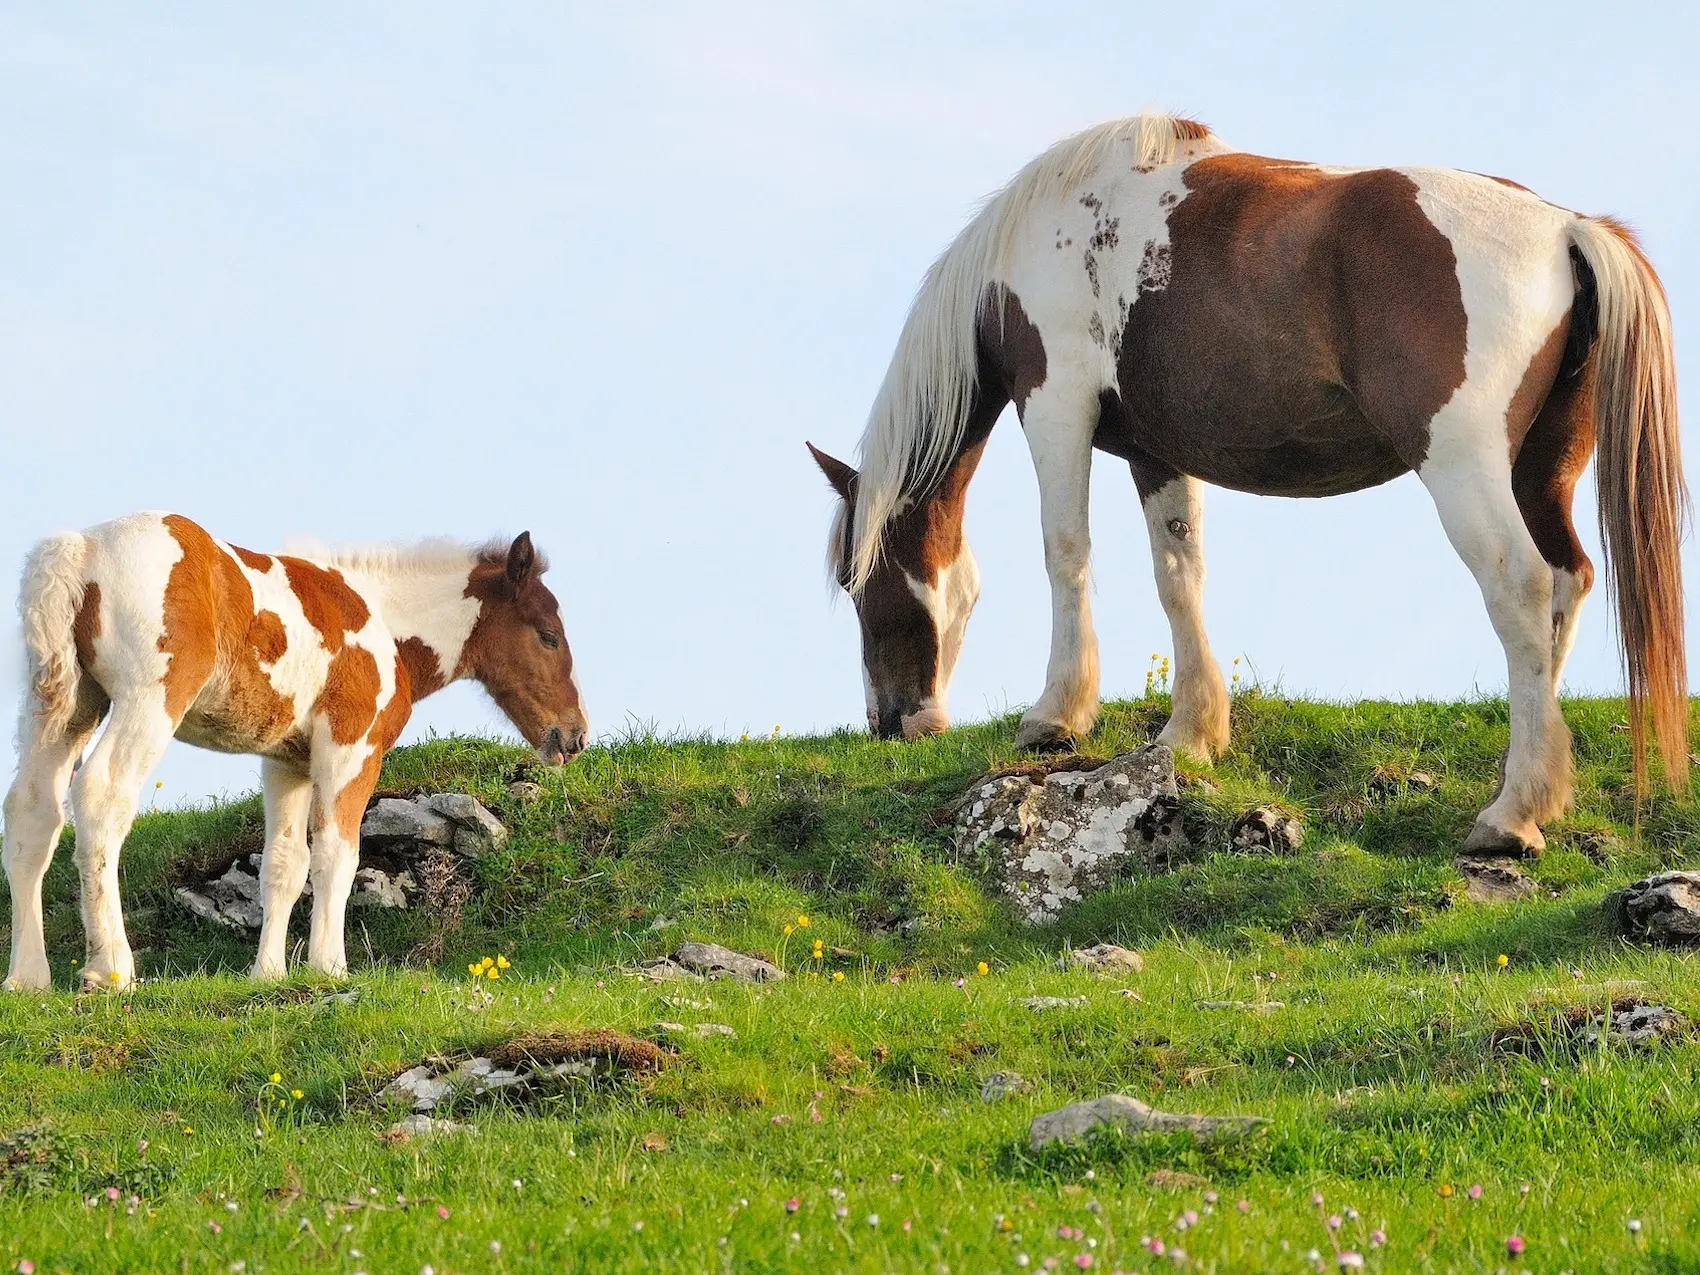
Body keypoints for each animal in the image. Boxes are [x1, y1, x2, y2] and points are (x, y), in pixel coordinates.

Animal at [4, 513, 591, 992]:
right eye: (548, 635)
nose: (574, 735)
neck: (383, 621)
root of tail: (80, 549)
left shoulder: (288, 760)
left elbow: (284, 865)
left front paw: (269, 975)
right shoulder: (352, 745)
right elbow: (337, 852)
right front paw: (330, 968)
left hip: (62, 706)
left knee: (31, 814)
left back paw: (27, 978)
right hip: (148, 700)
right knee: (102, 798)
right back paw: (110, 969)